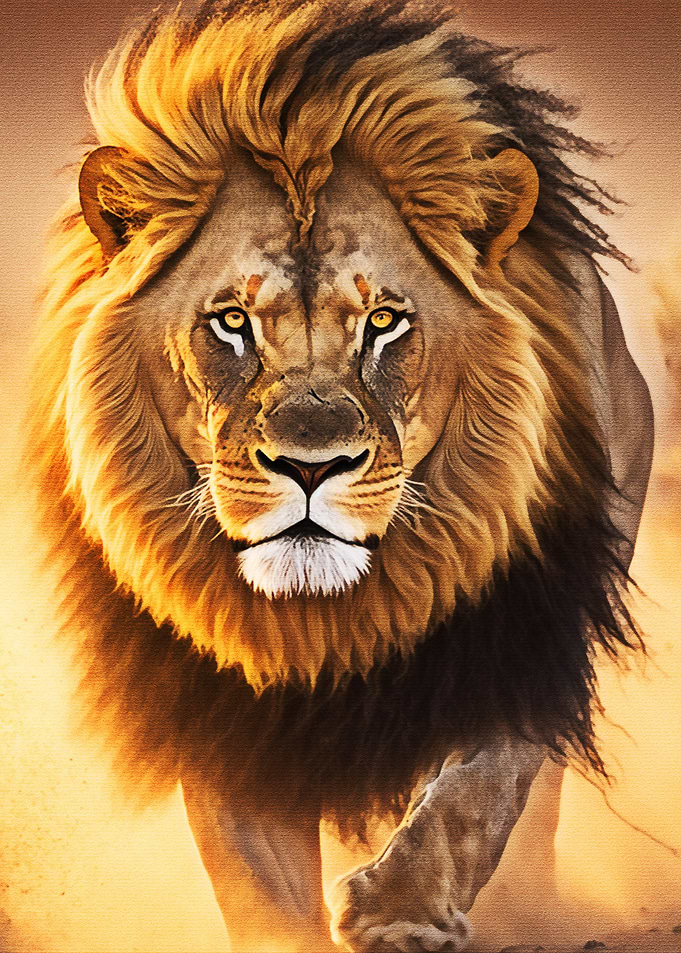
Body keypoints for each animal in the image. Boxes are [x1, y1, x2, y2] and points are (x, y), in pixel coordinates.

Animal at [30, 0, 654, 949]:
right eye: (231, 321)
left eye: (385, 321)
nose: (309, 465)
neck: (329, 622)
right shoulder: (220, 708)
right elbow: (254, 883)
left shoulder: (527, 634)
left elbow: (478, 786)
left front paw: (401, 908)